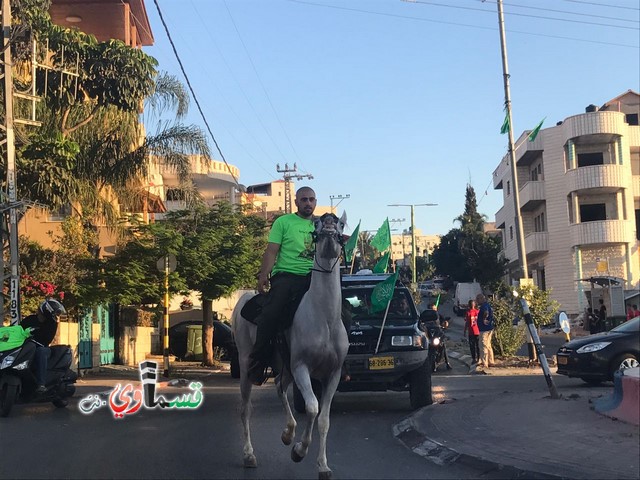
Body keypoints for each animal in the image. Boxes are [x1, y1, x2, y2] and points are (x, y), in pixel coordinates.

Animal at [231, 212, 348, 478]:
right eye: (317, 224)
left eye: (340, 223)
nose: (328, 220)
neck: (324, 317)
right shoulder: (301, 367)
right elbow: (313, 408)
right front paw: (299, 451)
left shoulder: (333, 374)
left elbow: (324, 419)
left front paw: (323, 465)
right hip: (247, 363)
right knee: (245, 409)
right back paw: (249, 454)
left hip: (283, 365)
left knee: (278, 386)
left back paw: (287, 433)